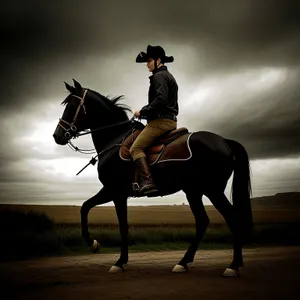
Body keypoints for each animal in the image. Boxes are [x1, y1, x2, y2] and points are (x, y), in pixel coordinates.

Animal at [52, 79, 252, 276]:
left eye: (71, 106)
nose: (56, 135)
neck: (115, 139)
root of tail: (224, 141)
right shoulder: (113, 192)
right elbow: (85, 207)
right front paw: (96, 245)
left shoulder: (115, 192)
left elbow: (119, 224)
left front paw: (116, 259)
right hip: (194, 191)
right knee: (203, 221)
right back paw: (183, 263)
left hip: (212, 190)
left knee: (231, 218)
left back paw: (232, 266)